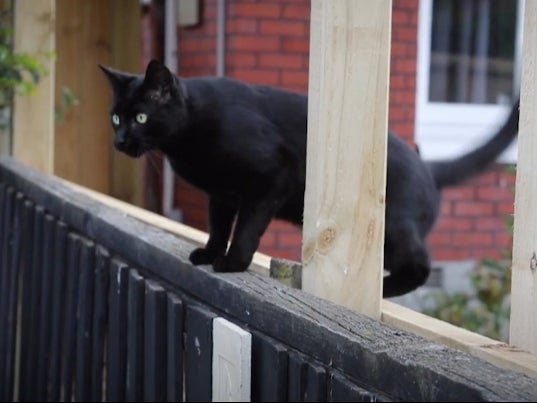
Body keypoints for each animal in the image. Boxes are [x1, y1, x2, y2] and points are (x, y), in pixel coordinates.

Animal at [100, 60, 520, 300]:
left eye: (140, 118)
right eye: (116, 118)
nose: (118, 141)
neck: (188, 132)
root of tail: (429, 167)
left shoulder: (270, 178)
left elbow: (247, 227)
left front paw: (233, 262)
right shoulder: (221, 194)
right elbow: (218, 227)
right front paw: (208, 253)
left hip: (389, 228)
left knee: (420, 265)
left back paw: (383, 290)